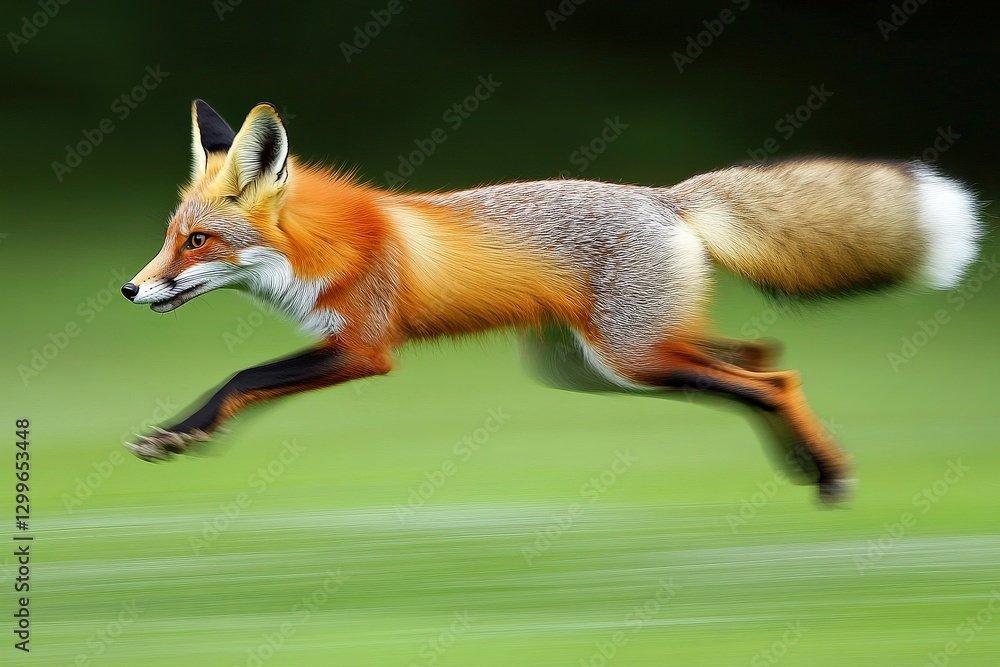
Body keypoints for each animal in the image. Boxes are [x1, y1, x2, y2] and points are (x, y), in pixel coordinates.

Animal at [122, 100, 982, 503]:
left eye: (198, 241)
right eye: (171, 236)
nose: (130, 288)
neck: (324, 248)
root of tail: (666, 196)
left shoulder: (363, 347)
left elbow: (242, 380)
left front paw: (182, 432)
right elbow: (245, 382)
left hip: (630, 359)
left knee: (770, 379)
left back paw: (827, 470)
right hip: (605, 362)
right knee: (760, 359)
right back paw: (808, 461)